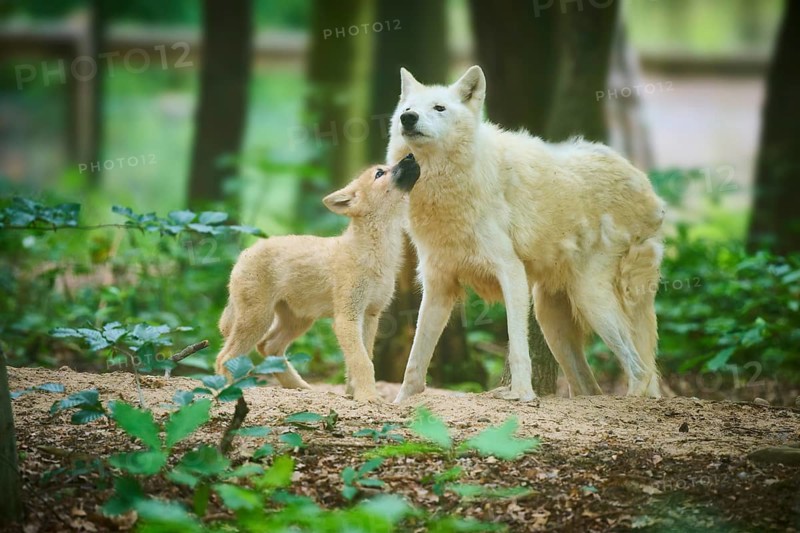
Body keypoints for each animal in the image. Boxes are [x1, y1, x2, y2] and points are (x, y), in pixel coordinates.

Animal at [214, 155, 420, 402]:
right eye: (380, 173)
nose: (410, 156)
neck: (376, 252)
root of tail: (243, 254)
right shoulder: (346, 318)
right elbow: (362, 362)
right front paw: (369, 398)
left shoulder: (370, 315)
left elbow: (360, 360)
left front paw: (354, 395)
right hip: (257, 319)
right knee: (224, 358)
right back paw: (227, 392)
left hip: (298, 320)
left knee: (268, 347)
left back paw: (300, 387)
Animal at [387, 66, 665, 403]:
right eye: (407, 108)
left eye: (439, 108)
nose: (408, 118)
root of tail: (646, 187)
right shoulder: (438, 285)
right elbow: (415, 358)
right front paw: (402, 402)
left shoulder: (511, 272)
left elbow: (517, 344)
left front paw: (521, 394)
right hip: (550, 316)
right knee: (591, 386)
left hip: (591, 298)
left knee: (640, 369)